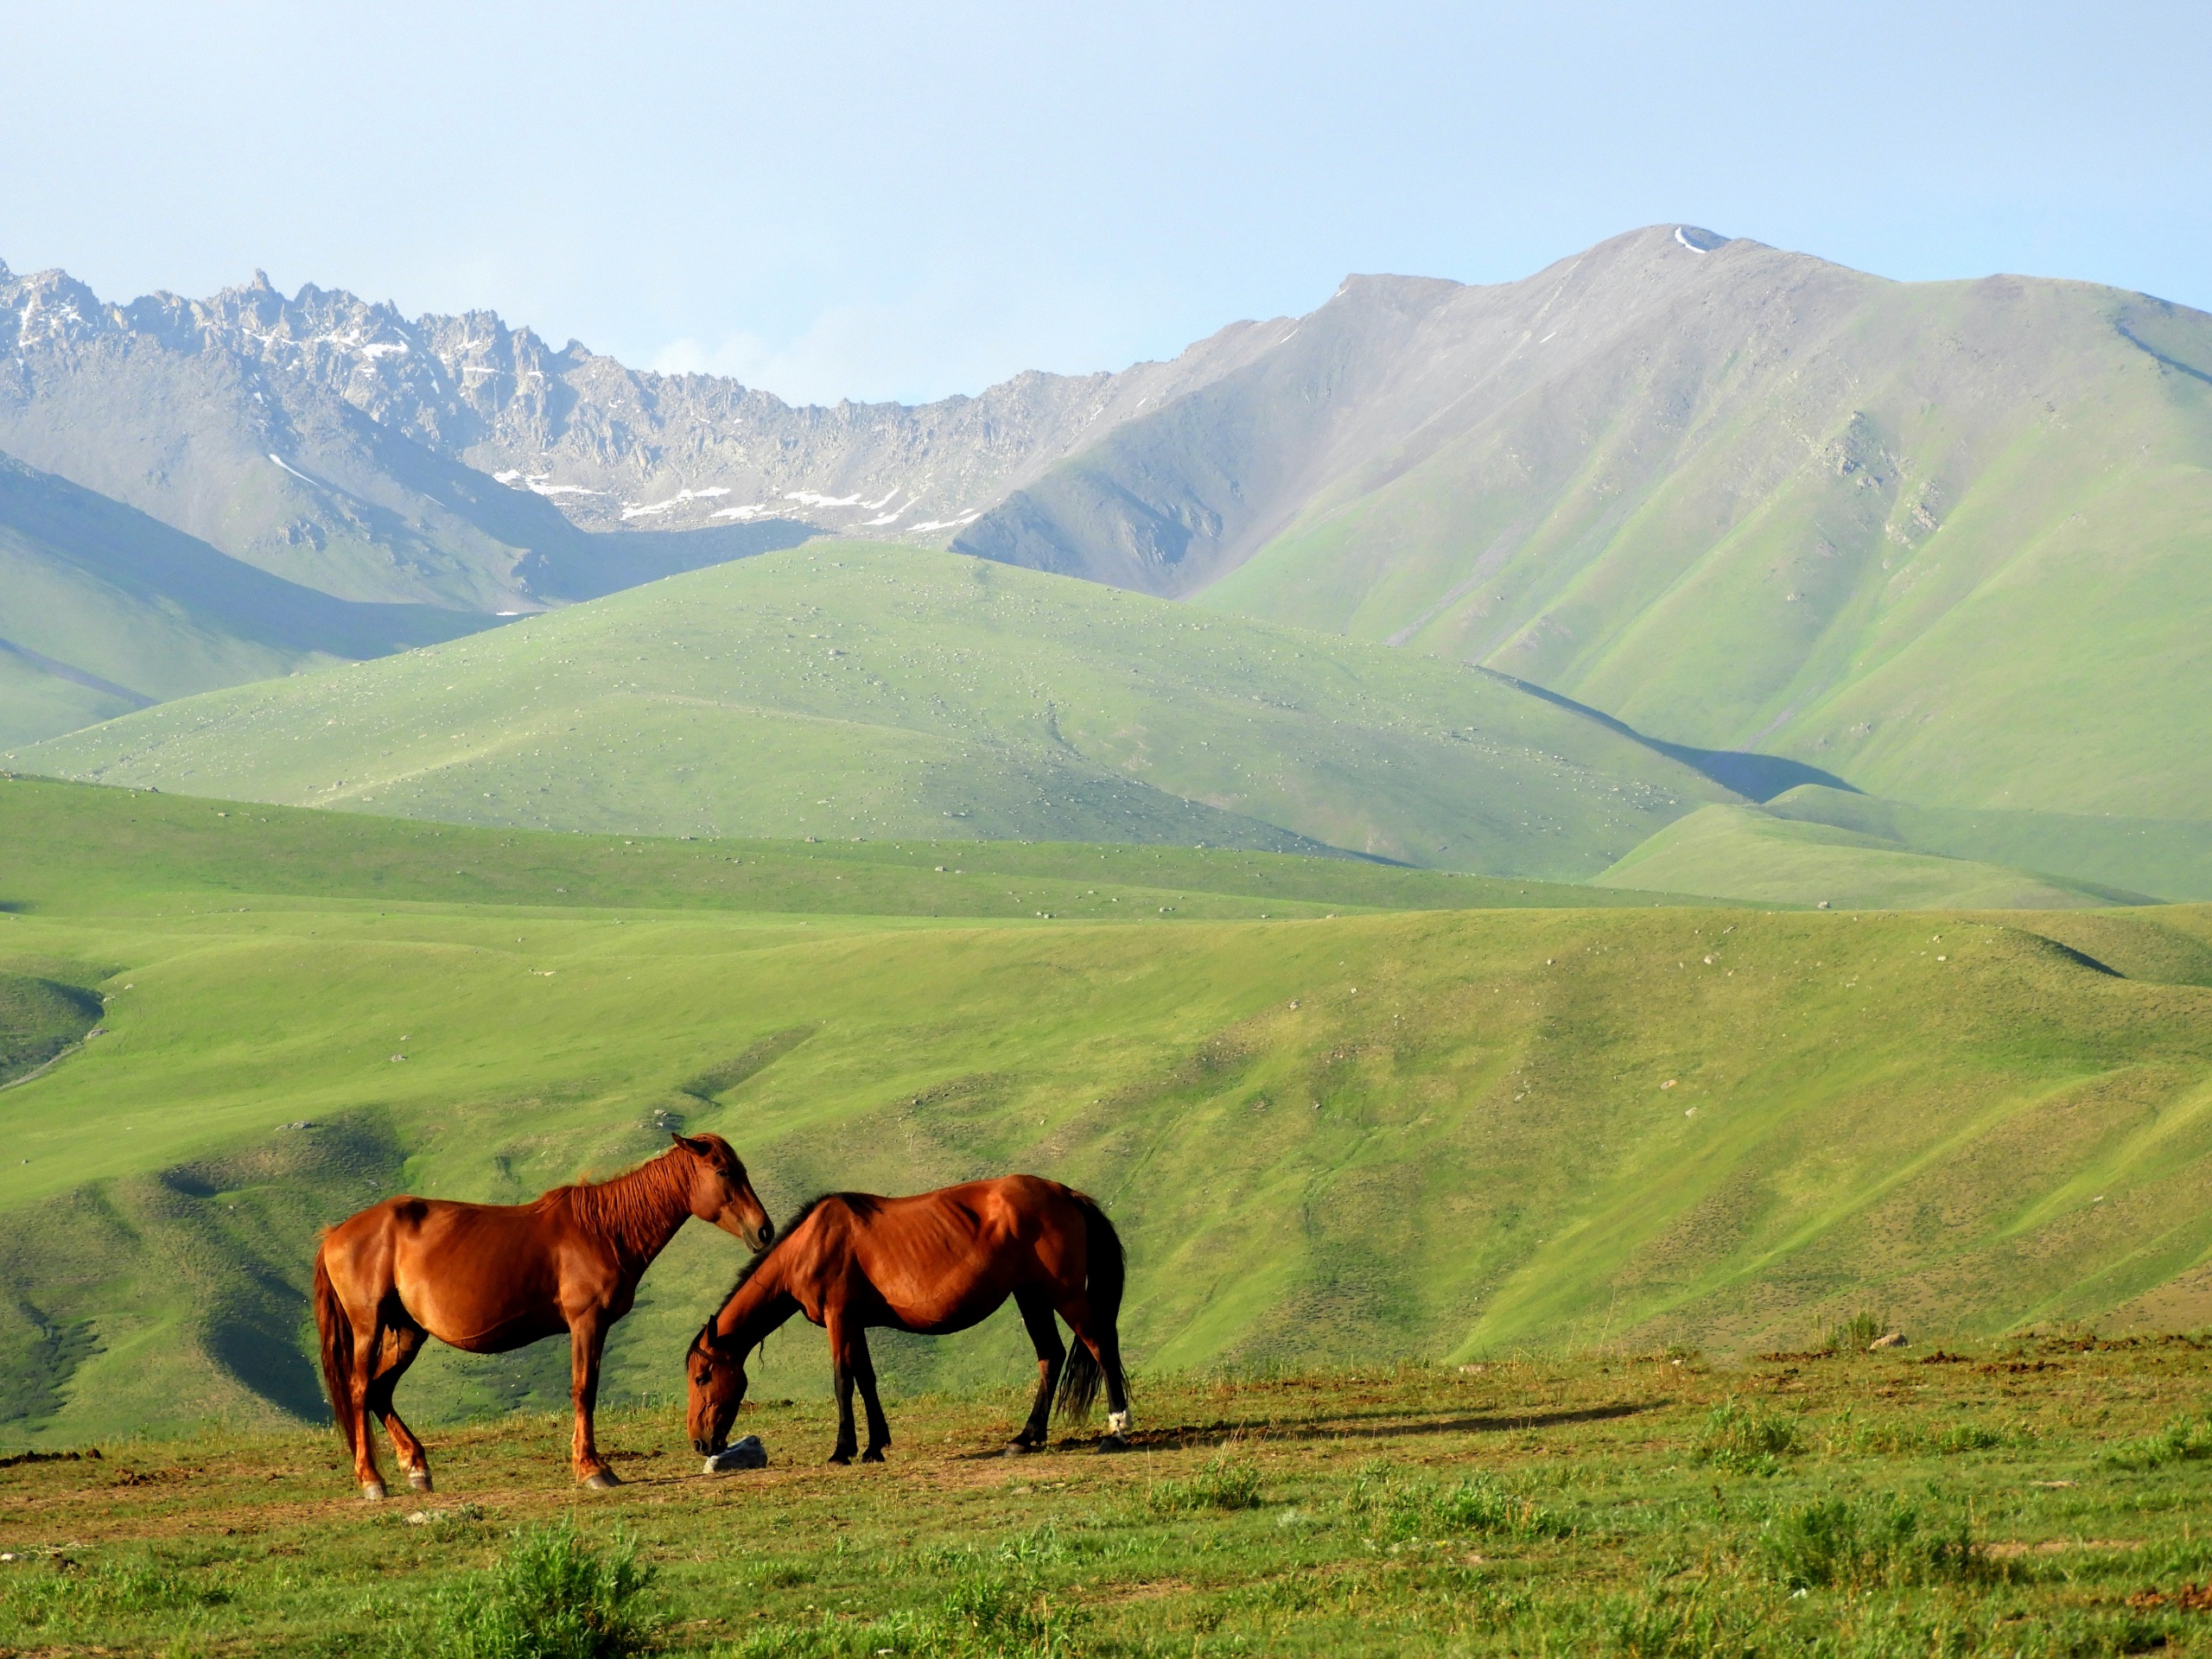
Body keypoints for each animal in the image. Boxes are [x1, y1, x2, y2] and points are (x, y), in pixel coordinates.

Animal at [316, 1132, 774, 1503]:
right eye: (723, 1172)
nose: (765, 1231)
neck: (604, 1230)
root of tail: (337, 1234)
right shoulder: (586, 1322)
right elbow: (584, 1390)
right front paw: (592, 1470)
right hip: (369, 1327)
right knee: (360, 1390)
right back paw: (371, 1480)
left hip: (408, 1332)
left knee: (380, 1391)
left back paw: (417, 1468)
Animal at [685, 1167, 1123, 1468]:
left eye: (702, 1378)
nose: (700, 1443)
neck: (811, 1243)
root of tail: (1066, 1193)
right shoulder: (855, 1323)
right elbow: (866, 1379)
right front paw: (874, 1446)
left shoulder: (839, 1317)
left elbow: (843, 1381)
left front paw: (841, 1451)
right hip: (1031, 1296)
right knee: (1051, 1356)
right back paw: (1026, 1437)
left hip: (1063, 1293)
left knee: (1100, 1345)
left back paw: (1116, 1432)